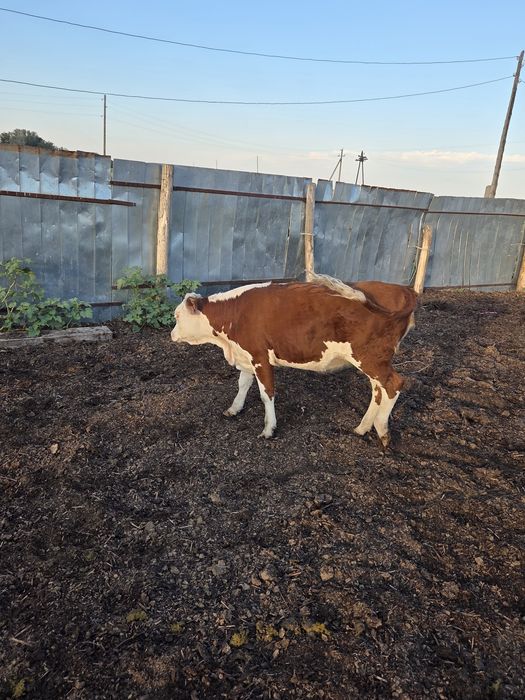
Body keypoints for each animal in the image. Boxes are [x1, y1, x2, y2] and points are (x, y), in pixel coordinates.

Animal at [171, 274, 417, 447]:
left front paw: (269, 429)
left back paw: (382, 430)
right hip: (373, 361)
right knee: (378, 391)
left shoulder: (260, 357)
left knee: (394, 385)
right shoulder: (245, 354)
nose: (172, 334)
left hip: (371, 357)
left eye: (177, 316)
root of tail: (403, 289)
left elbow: (266, 394)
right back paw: (363, 427)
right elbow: (242, 384)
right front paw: (234, 408)